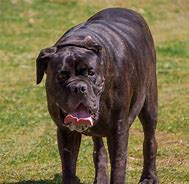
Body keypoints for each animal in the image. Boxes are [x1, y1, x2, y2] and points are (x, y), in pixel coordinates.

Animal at [35, 7, 158, 184]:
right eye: (61, 76)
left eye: (91, 73)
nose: (78, 87)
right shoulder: (65, 132)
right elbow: (68, 166)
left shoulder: (118, 131)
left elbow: (118, 167)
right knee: (99, 149)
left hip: (149, 104)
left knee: (150, 140)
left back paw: (149, 177)